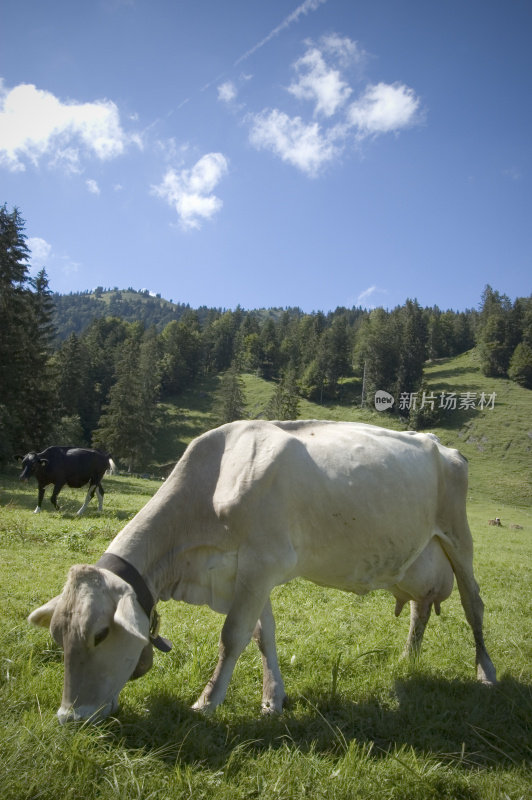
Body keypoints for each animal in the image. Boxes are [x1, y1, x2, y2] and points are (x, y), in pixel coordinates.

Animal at [28, 422, 494, 720]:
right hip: (417, 559)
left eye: (100, 634)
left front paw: (207, 702)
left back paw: (485, 672)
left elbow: (232, 636)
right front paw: (273, 700)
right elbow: (262, 635)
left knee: (474, 604)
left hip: (459, 538)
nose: (68, 718)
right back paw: (408, 658)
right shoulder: (247, 574)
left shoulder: (263, 564)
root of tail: (443, 445)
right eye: (57, 636)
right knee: (419, 608)